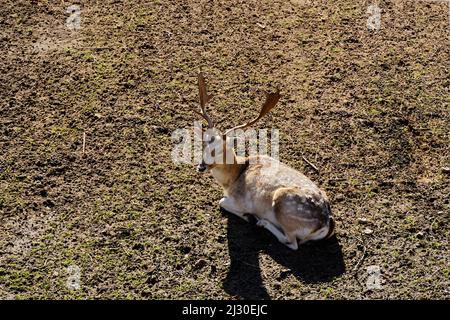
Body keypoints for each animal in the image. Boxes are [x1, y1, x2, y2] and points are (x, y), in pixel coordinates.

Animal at [193, 72, 334, 250]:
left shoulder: (241, 201)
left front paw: (248, 216)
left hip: (283, 203)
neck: (232, 179)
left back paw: (262, 222)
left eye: (221, 150)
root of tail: (326, 223)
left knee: (292, 242)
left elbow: (221, 201)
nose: (201, 166)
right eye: (204, 144)